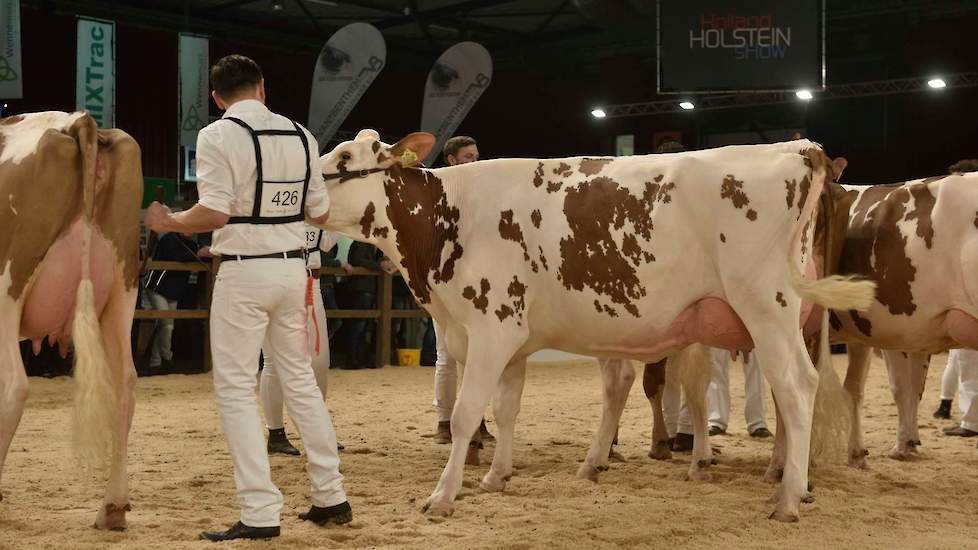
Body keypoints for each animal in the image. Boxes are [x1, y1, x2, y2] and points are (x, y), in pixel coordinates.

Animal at [0, 112, 143, 532]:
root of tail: (76, 119)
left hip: (8, 284)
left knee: (14, 387)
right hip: (121, 289)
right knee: (125, 384)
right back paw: (112, 507)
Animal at [316, 132, 872, 524]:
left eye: (343, 161)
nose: (302, 192)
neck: (449, 218)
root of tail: (799, 149)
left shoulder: (490, 329)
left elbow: (467, 412)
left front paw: (442, 495)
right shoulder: (511, 340)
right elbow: (506, 408)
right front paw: (496, 476)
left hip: (766, 307)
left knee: (797, 388)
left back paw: (788, 499)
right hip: (785, 318)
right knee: (787, 392)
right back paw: (785, 480)